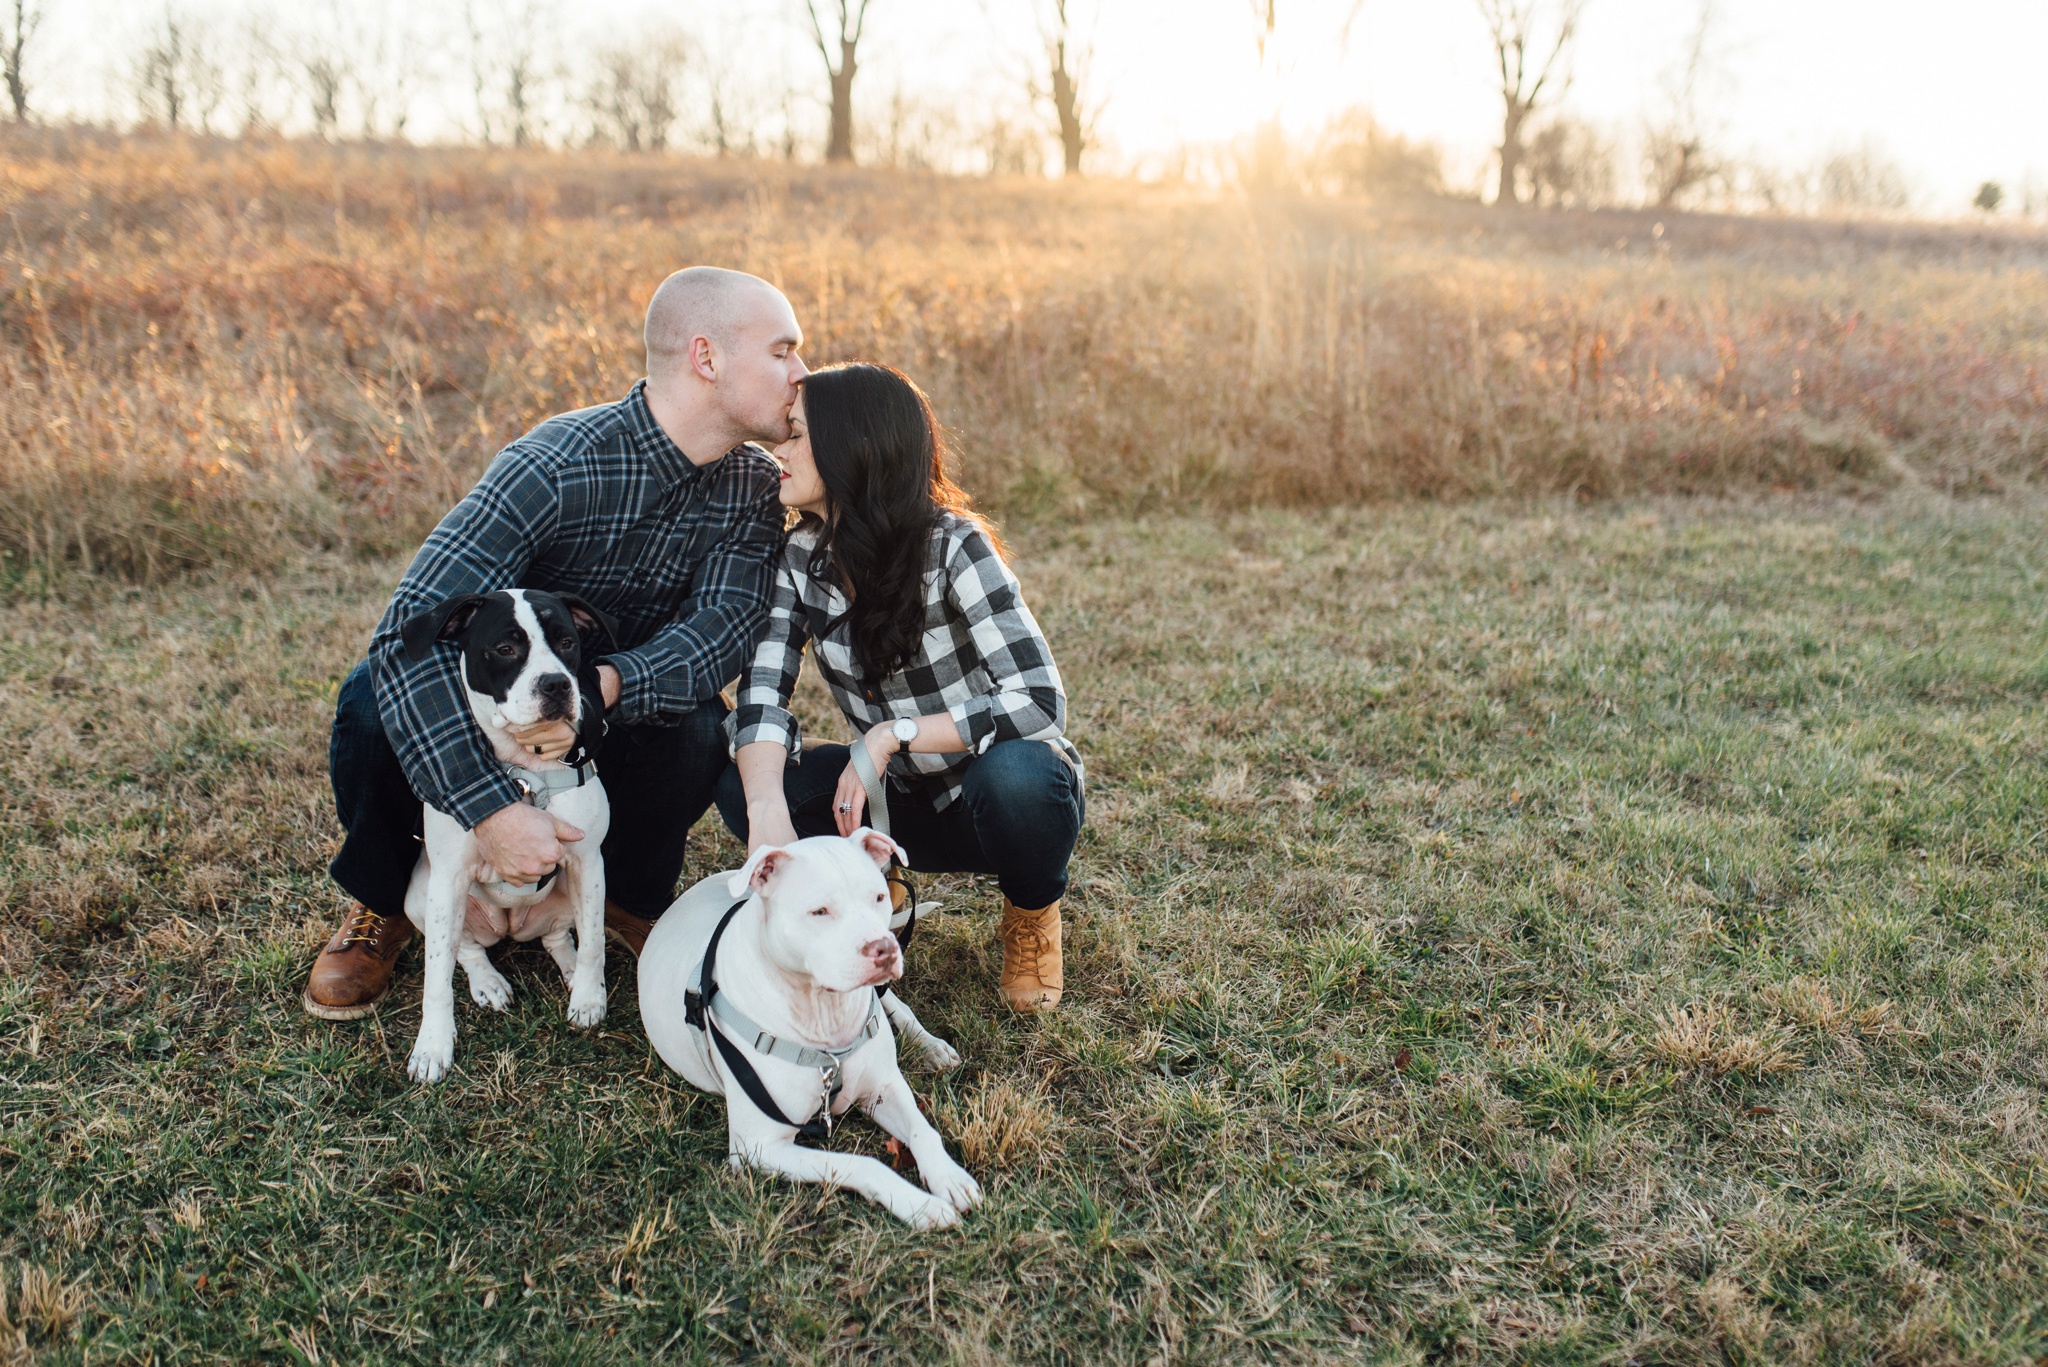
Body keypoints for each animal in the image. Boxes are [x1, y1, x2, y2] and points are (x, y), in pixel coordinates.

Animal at [397, 590, 614, 1082]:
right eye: (505, 648)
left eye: (567, 642)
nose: (557, 684)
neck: (524, 770)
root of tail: (512, 928)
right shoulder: (448, 880)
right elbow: (436, 976)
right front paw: (433, 1045)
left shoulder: (588, 861)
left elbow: (594, 941)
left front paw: (589, 997)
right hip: (421, 896)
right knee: (466, 950)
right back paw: (488, 983)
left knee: (561, 936)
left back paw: (571, 971)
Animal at [643, 827, 987, 1237]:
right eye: (819, 911)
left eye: (878, 897)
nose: (885, 948)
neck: (822, 1009)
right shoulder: (759, 1145)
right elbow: (862, 1163)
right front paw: (919, 1204)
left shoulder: (884, 1086)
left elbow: (923, 1130)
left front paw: (949, 1178)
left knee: (893, 1002)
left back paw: (930, 1046)